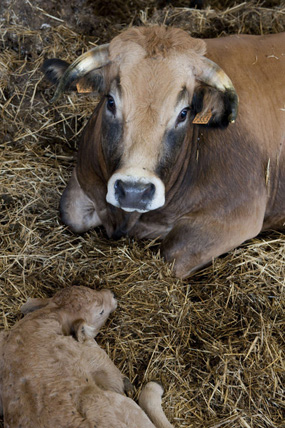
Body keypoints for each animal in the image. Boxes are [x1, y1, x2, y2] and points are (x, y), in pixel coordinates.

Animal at [0, 284, 173, 428]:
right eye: (100, 311)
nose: (112, 294)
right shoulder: (90, 350)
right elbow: (113, 377)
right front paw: (127, 384)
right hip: (123, 405)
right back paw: (154, 388)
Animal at [42, 27, 284, 280]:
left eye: (184, 113)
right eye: (110, 102)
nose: (134, 191)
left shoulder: (239, 216)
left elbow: (172, 256)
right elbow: (71, 214)